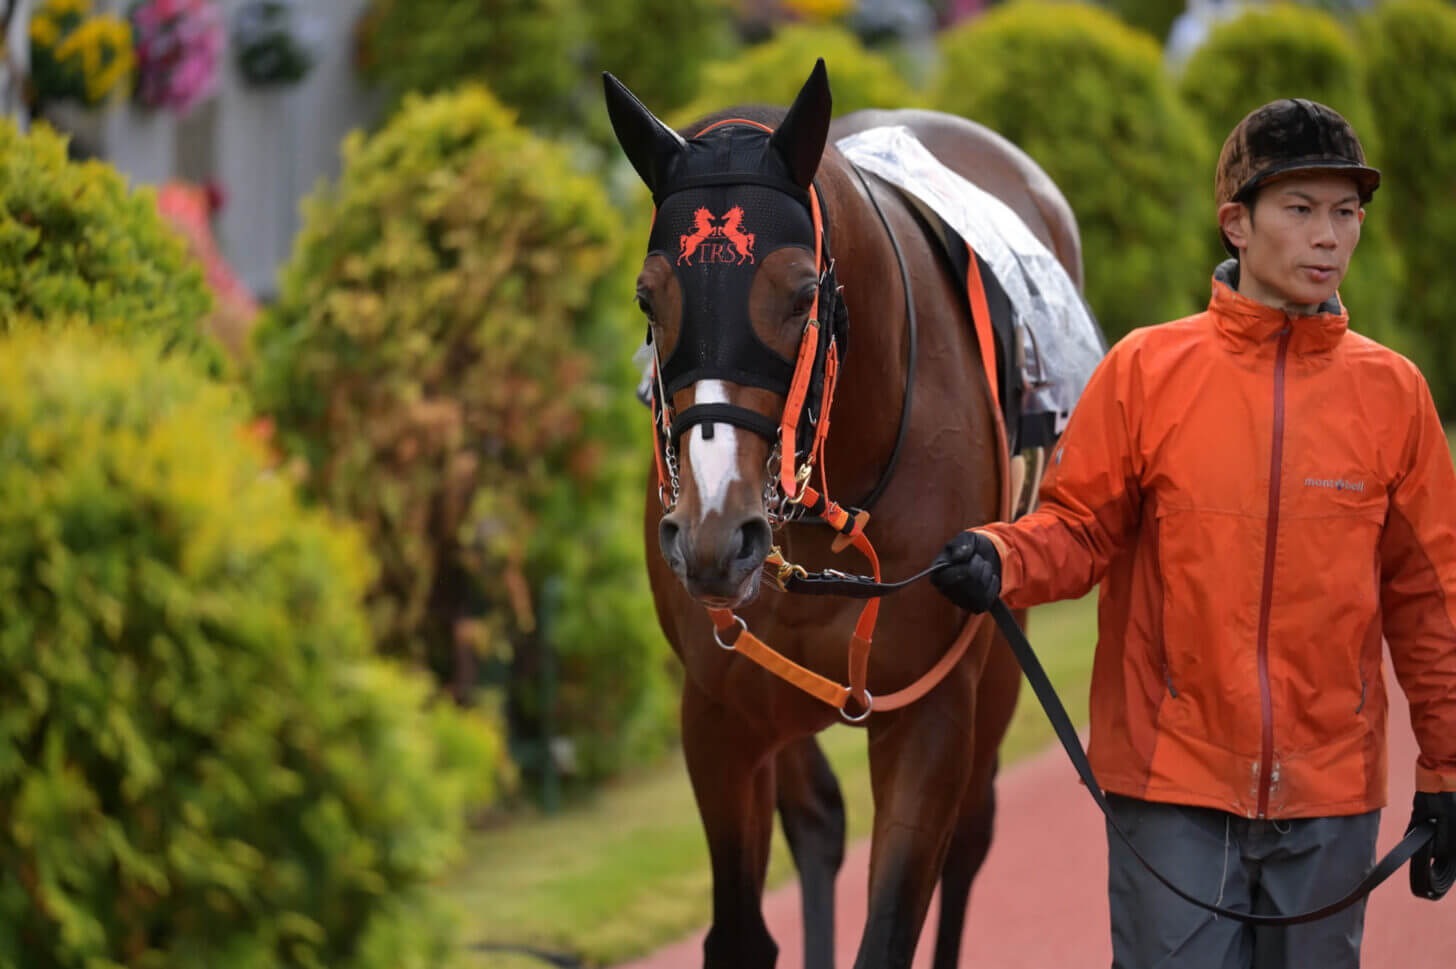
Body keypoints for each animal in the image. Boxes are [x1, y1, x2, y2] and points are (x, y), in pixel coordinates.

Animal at [602, 62, 1083, 966]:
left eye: (799, 295)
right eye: (650, 299)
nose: (716, 537)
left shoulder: (931, 715)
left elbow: (892, 924)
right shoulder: (719, 714)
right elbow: (744, 929)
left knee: (972, 831)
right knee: (820, 819)